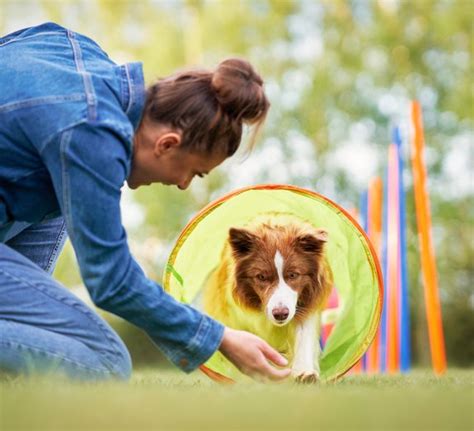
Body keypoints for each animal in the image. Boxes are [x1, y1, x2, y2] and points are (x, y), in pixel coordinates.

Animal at [204, 211, 334, 384]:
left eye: (293, 275)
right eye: (261, 277)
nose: (280, 314)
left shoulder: (306, 303)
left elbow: (304, 335)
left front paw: (304, 372)